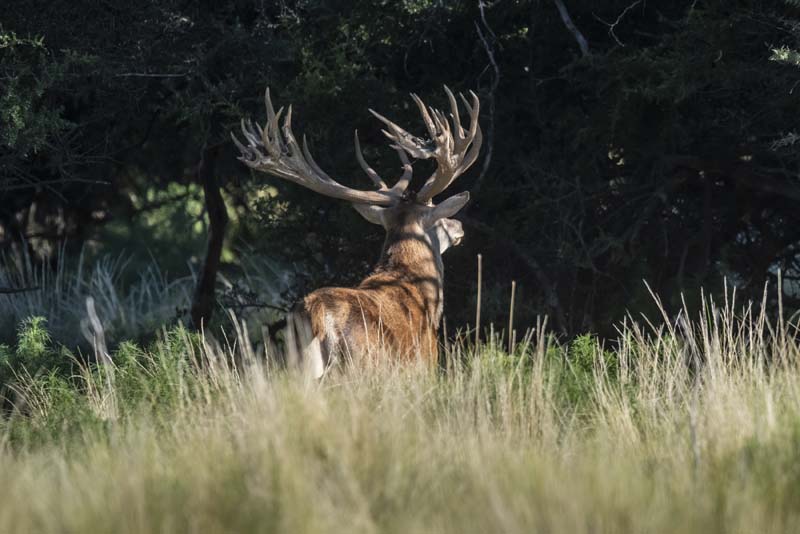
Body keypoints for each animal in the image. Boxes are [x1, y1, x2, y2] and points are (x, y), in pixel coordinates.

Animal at [232, 86, 482, 377]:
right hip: (358, 367)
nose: (459, 226)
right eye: (436, 213)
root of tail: (315, 318)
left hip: (296, 367)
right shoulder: (425, 364)